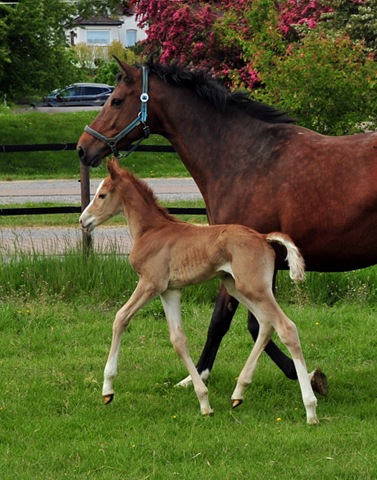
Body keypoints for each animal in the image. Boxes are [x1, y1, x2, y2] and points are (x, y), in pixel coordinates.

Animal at [79, 158, 318, 424]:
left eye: (102, 195)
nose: (83, 220)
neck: (151, 230)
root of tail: (264, 237)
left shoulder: (150, 283)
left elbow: (120, 318)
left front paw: (107, 389)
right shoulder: (170, 291)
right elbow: (178, 340)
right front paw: (204, 402)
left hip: (254, 288)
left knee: (286, 327)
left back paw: (310, 409)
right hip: (237, 286)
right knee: (266, 324)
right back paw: (238, 393)